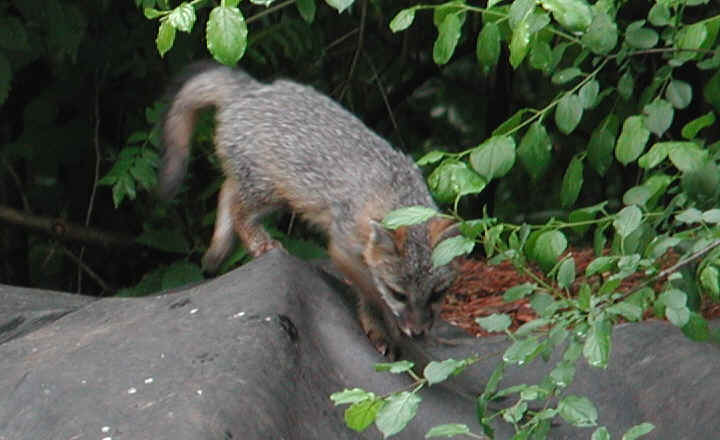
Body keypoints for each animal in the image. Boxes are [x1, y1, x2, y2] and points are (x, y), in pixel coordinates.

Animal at [157, 61, 460, 358]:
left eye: (437, 294)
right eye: (399, 294)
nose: (418, 333)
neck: (393, 192)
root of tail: (253, 88)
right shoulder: (343, 247)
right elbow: (371, 293)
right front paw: (385, 327)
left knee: (226, 190)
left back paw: (217, 249)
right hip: (269, 191)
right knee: (237, 208)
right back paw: (258, 244)